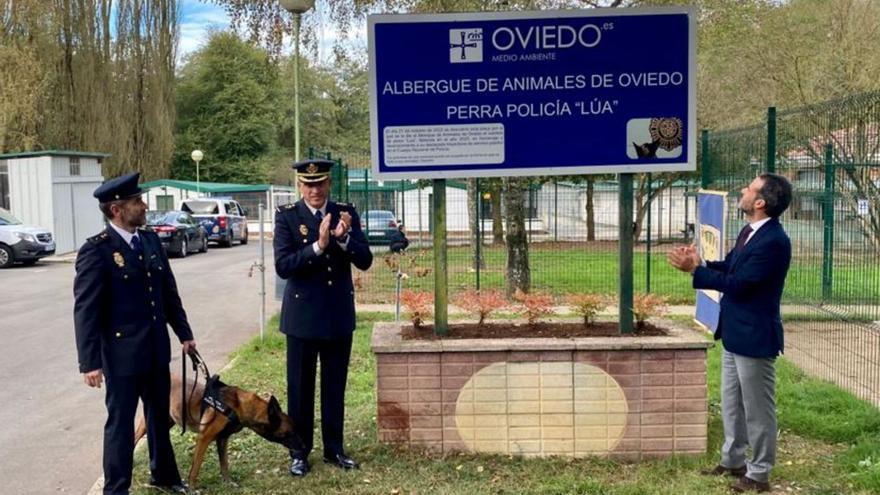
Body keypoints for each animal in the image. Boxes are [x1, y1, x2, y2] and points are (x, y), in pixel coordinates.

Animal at [133, 376, 302, 488]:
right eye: (289, 433)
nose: (304, 446)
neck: (237, 406)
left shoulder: (222, 439)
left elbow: (224, 464)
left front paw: (228, 483)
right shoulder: (204, 438)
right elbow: (195, 468)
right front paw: (192, 488)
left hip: (168, 422)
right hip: (146, 424)